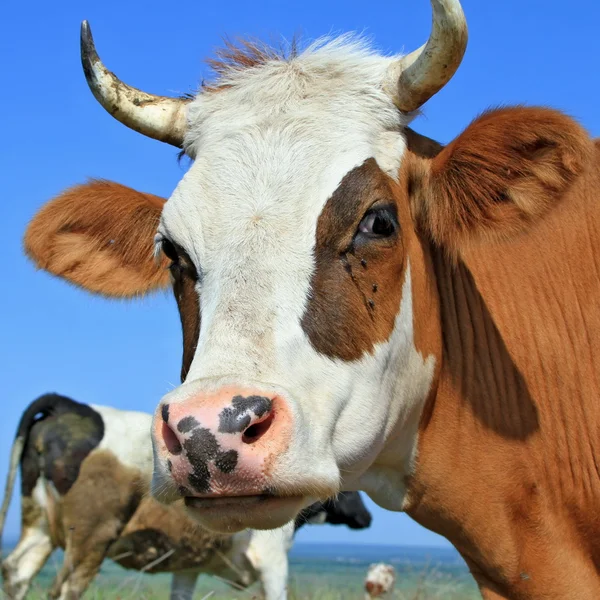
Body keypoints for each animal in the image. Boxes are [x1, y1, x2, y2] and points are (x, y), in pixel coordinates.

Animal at [0, 394, 372, 600]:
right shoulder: (272, 558)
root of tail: (67, 405)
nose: (367, 518)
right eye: (349, 485)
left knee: (16, 571)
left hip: (39, 524)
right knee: (66, 588)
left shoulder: (189, 566)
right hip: (92, 535)